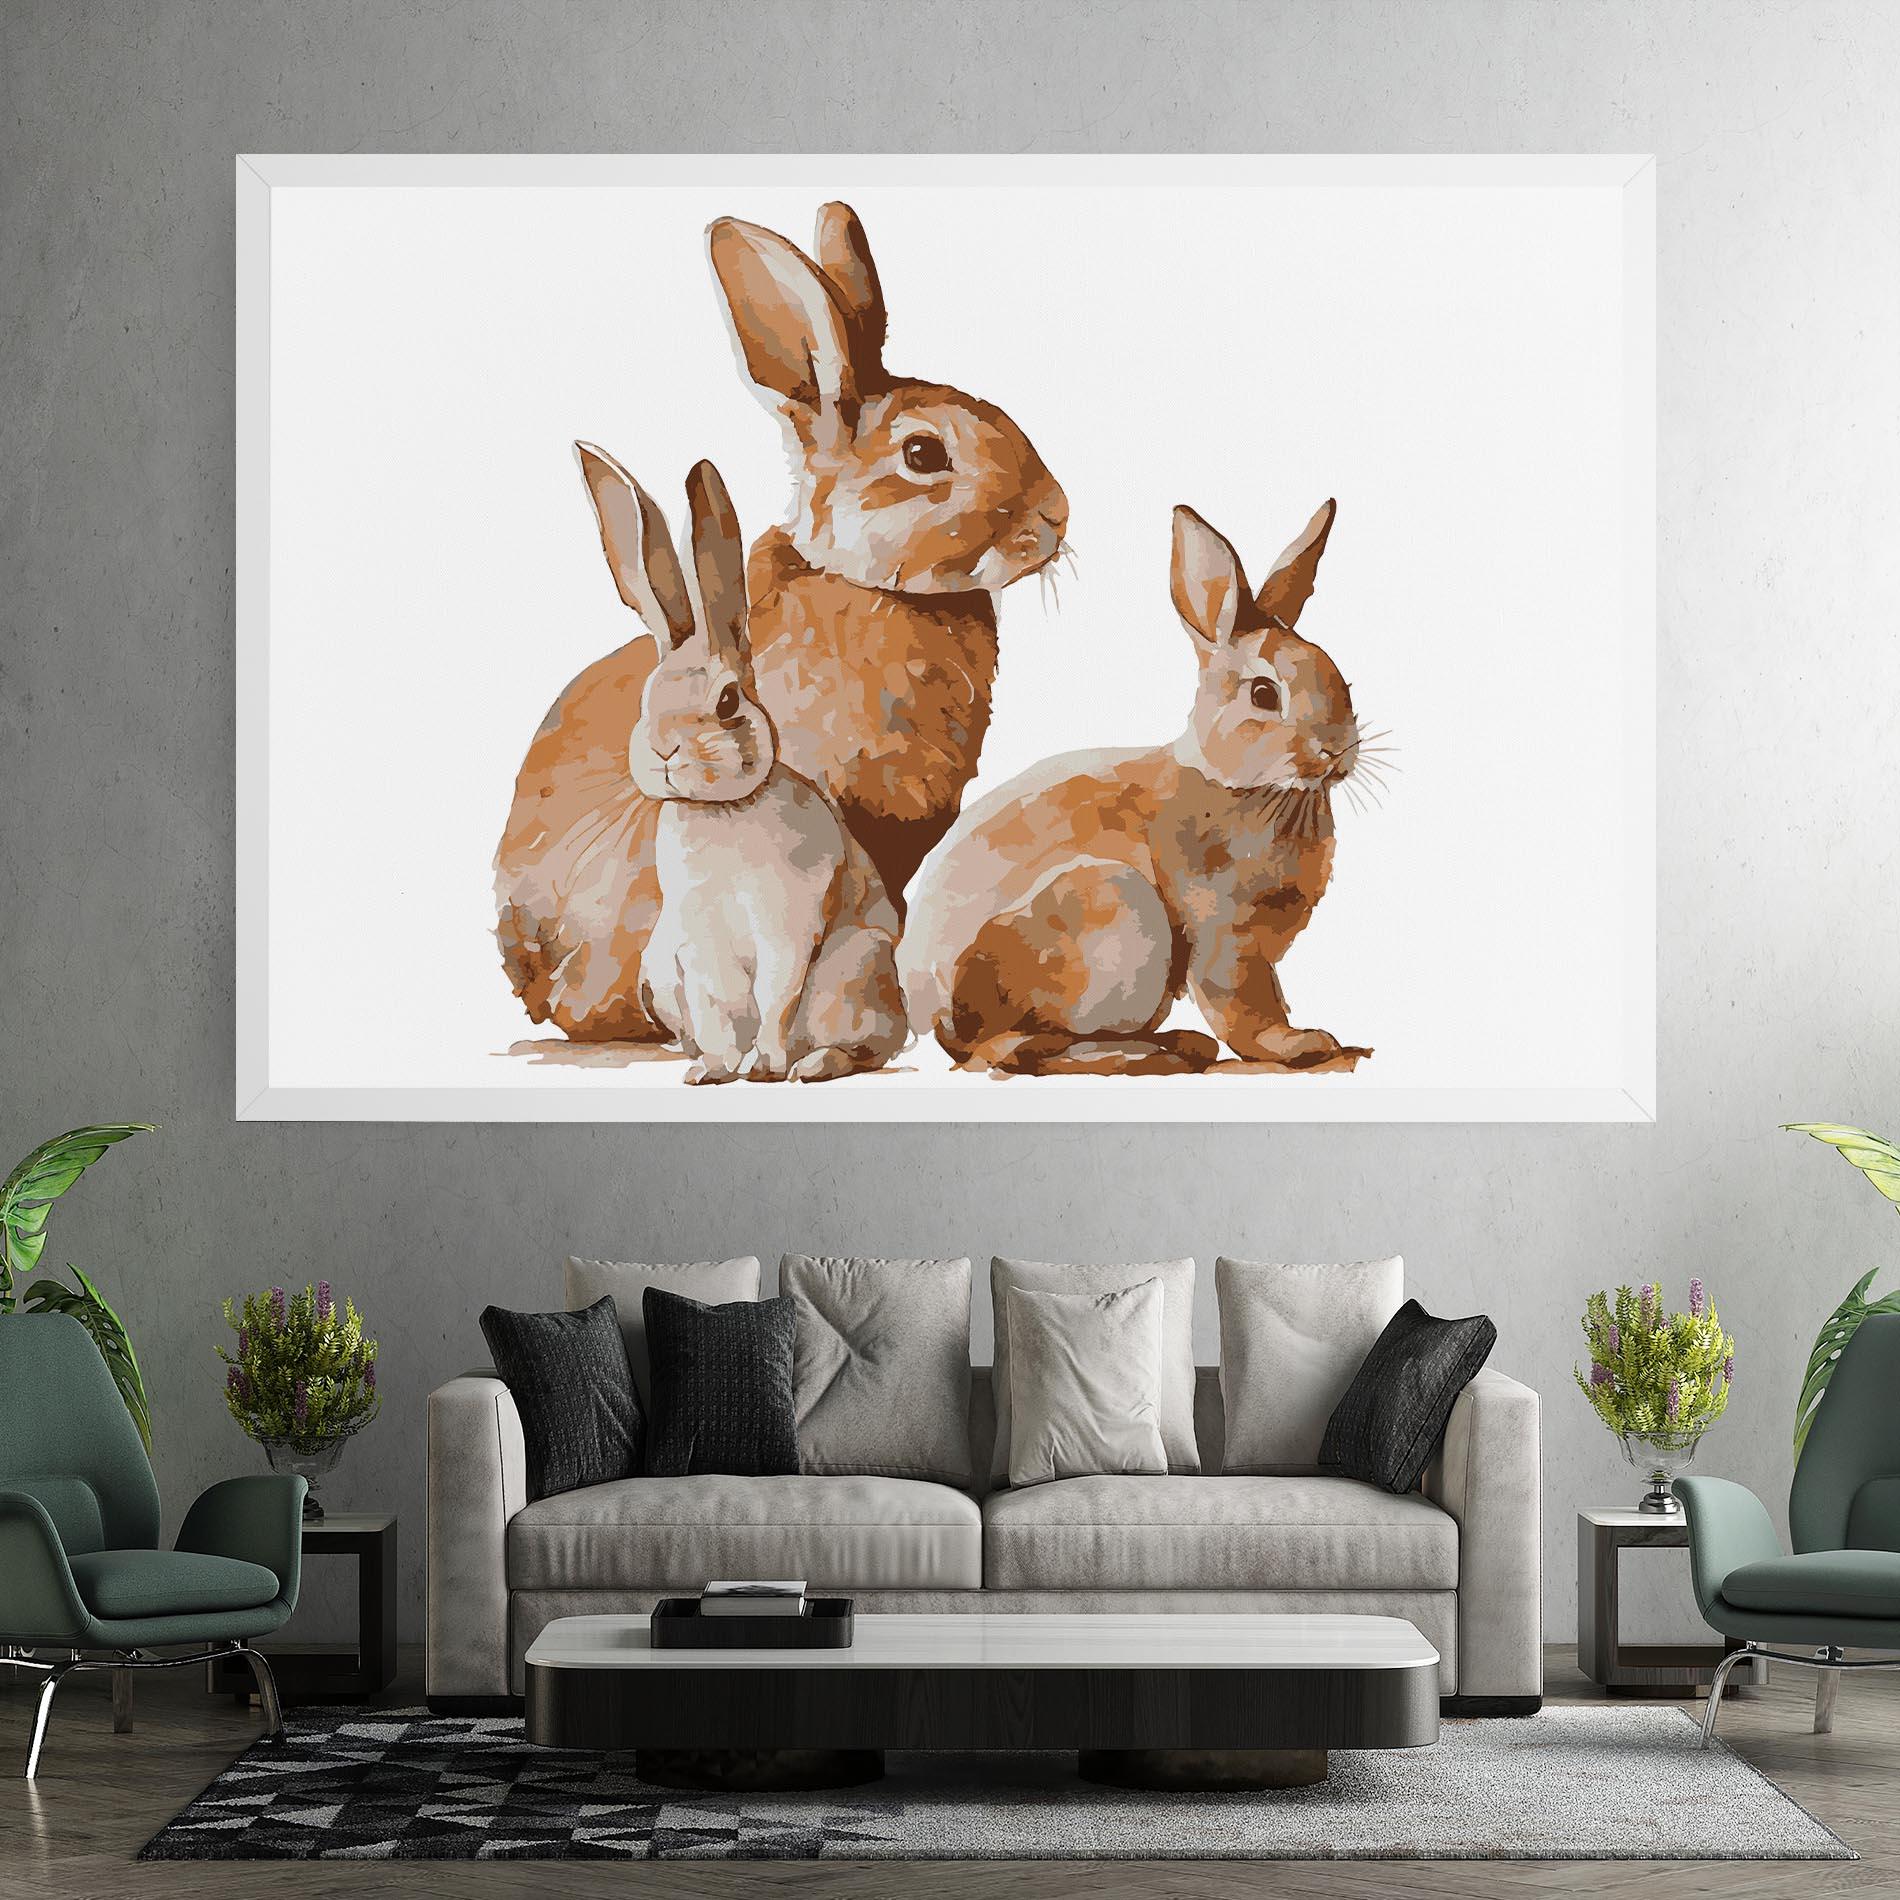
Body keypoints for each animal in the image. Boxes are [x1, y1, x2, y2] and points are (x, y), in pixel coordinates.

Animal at [570, 443, 908, 1084]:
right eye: (647, 698)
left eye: (727, 701)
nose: (664, 751)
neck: (723, 810)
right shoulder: (697, 944)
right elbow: (716, 1009)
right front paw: (713, 1071)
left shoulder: (787, 929)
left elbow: (776, 998)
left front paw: (764, 1067)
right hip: (659, 972)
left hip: (854, 974)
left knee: (869, 1048)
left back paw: (811, 1065)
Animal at [900, 499, 1375, 1077]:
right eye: (1265, 694)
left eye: (1341, 677)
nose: (1337, 751)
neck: (1253, 787)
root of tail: (932, 1014)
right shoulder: (1224, 935)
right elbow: (1244, 1008)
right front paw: (1299, 1044)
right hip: (1111, 909)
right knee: (1010, 1048)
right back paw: (1142, 1052)